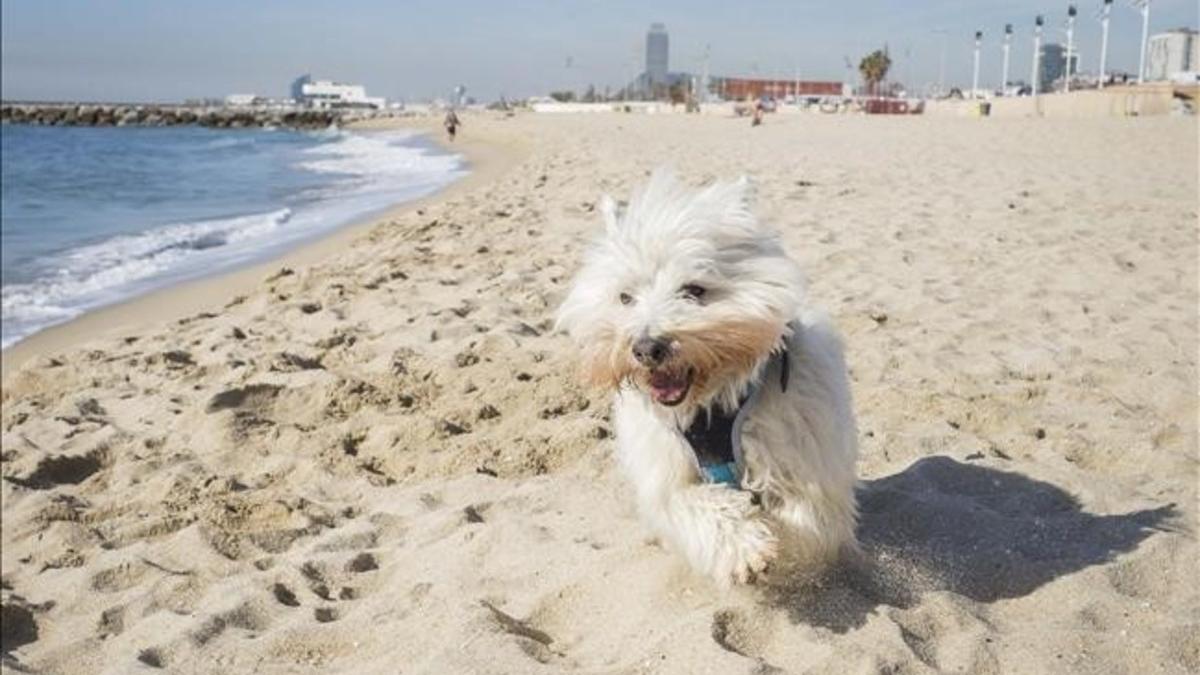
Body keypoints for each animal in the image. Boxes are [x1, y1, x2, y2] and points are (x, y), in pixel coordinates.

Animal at [556, 171, 859, 583]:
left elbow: (806, 518)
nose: (646, 348)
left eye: (694, 290)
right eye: (625, 297)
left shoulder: (806, 463)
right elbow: (693, 502)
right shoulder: (667, 471)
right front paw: (745, 547)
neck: (711, 404)